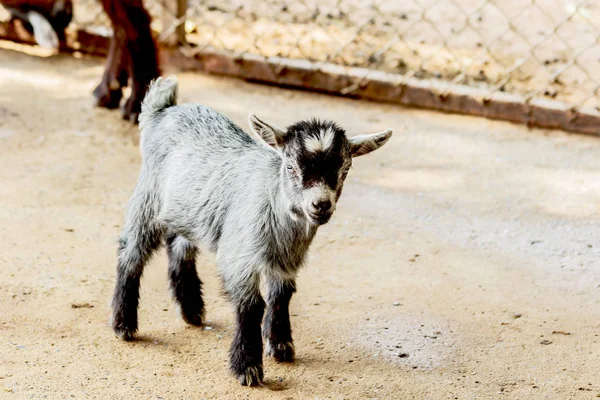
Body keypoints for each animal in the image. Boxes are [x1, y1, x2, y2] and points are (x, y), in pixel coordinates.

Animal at [112, 76, 394, 386]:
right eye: (290, 166)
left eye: (344, 170)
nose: (321, 205)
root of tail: (163, 110)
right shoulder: (239, 255)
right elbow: (252, 305)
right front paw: (247, 367)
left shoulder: (285, 260)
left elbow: (282, 295)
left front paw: (281, 345)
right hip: (148, 199)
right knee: (131, 252)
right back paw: (124, 324)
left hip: (188, 209)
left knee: (179, 246)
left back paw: (191, 310)